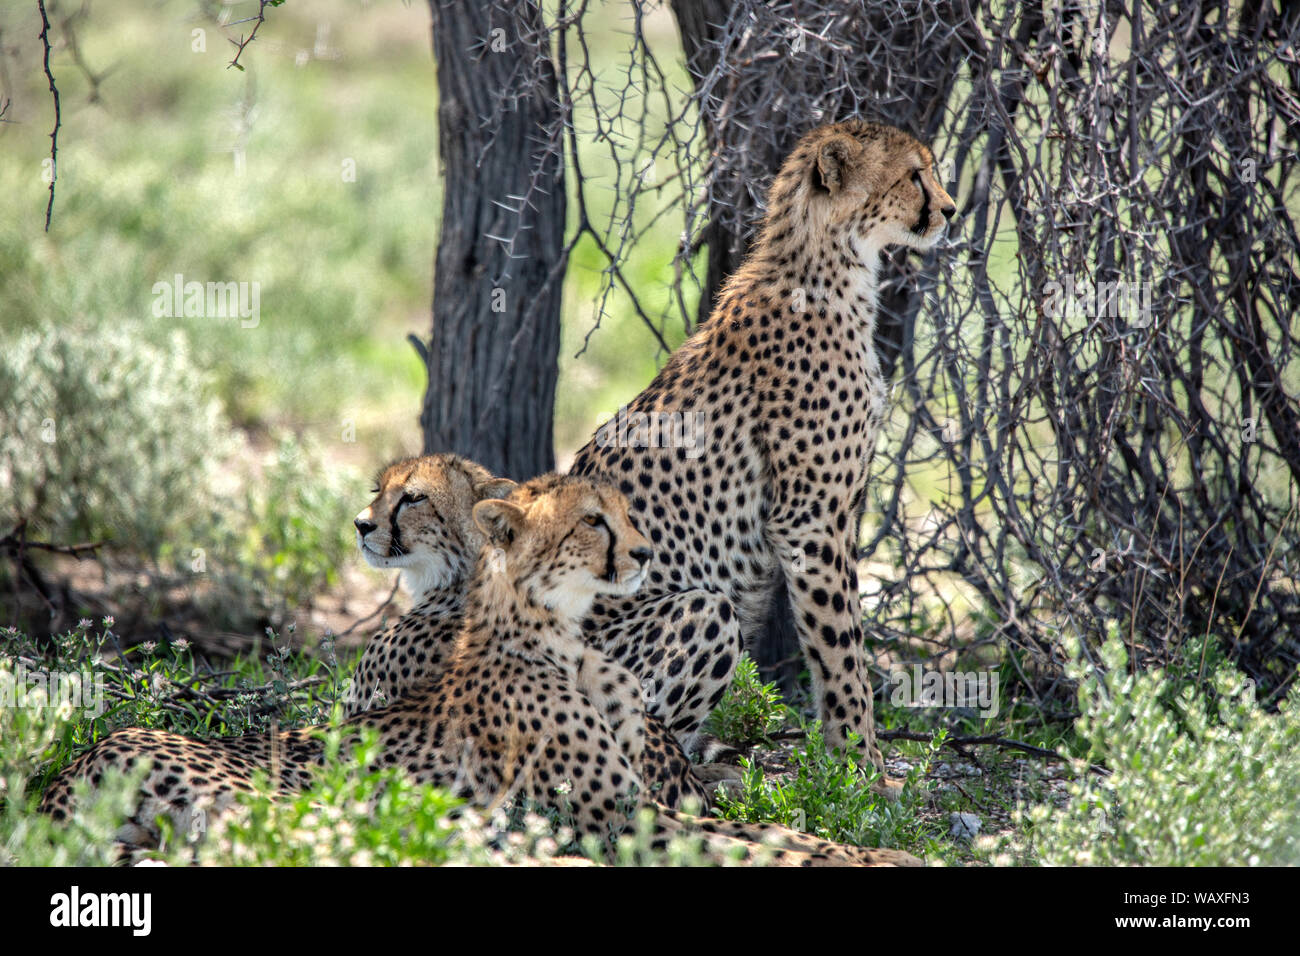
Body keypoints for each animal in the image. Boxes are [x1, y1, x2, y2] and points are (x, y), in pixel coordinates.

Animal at [43, 478, 915, 868]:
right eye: (593, 521)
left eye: (626, 513)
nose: (641, 554)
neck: (559, 634)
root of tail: (82, 757)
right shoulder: (627, 819)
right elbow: (759, 844)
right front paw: (875, 858)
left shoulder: (645, 803)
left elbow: (777, 831)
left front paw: (890, 855)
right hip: (288, 809)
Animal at [574, 117, 961, 770]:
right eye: (915, 175)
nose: (952, 210)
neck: (832, 265)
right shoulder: (810, 518)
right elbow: (841, 646)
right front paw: (861, 762)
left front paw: (854, 758)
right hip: (698, 612)